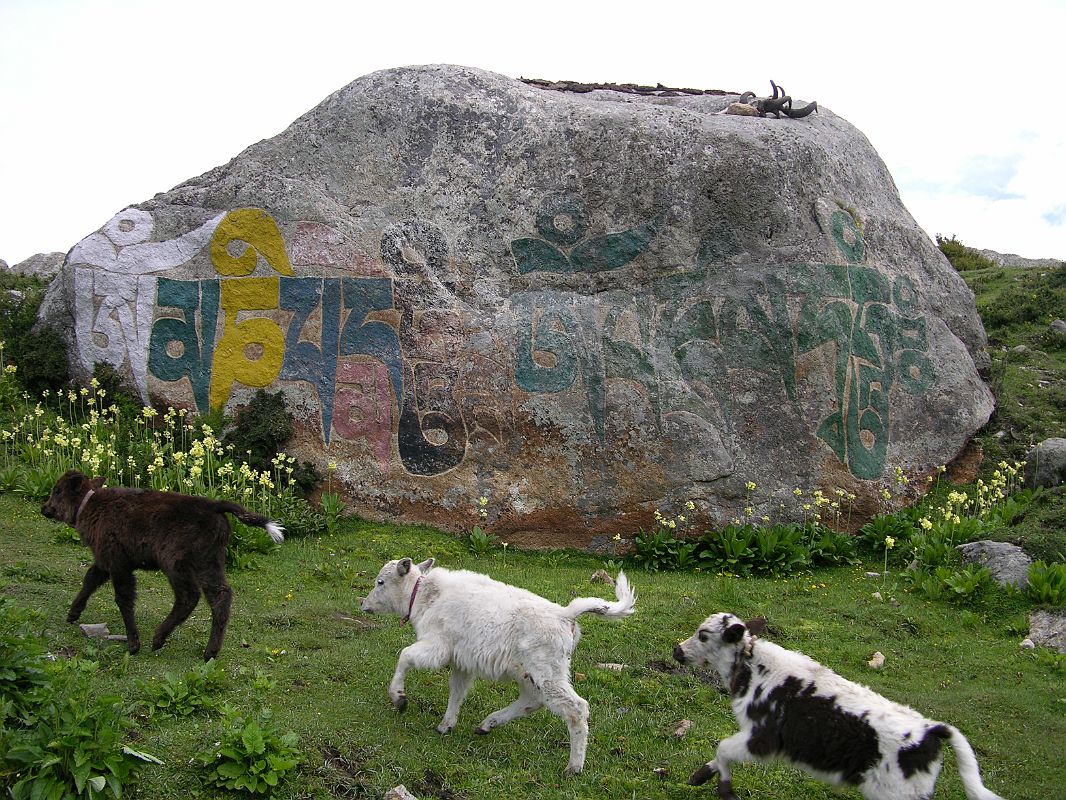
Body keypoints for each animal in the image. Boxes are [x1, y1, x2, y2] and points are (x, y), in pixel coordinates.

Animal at [362, 558, 635, 776]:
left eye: (380, 582)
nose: (364, 605)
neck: (426, 596)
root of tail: (566, 614)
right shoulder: (462, 662)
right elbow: (457, 692)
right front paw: (445, 725)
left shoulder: (436, 646)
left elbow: (405, 655)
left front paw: (399, 698)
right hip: (530, 673)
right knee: (533, 700)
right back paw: (487, 724)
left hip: (548, 673)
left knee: (576, 708)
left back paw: (573, 767)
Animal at [673, 618, 1006, 797]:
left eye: (703, 634)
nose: (677, 650)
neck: (754, 669)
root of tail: (931, 729)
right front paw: (699, 777)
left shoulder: (762, 739)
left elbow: (723, 748)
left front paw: (724, 790)